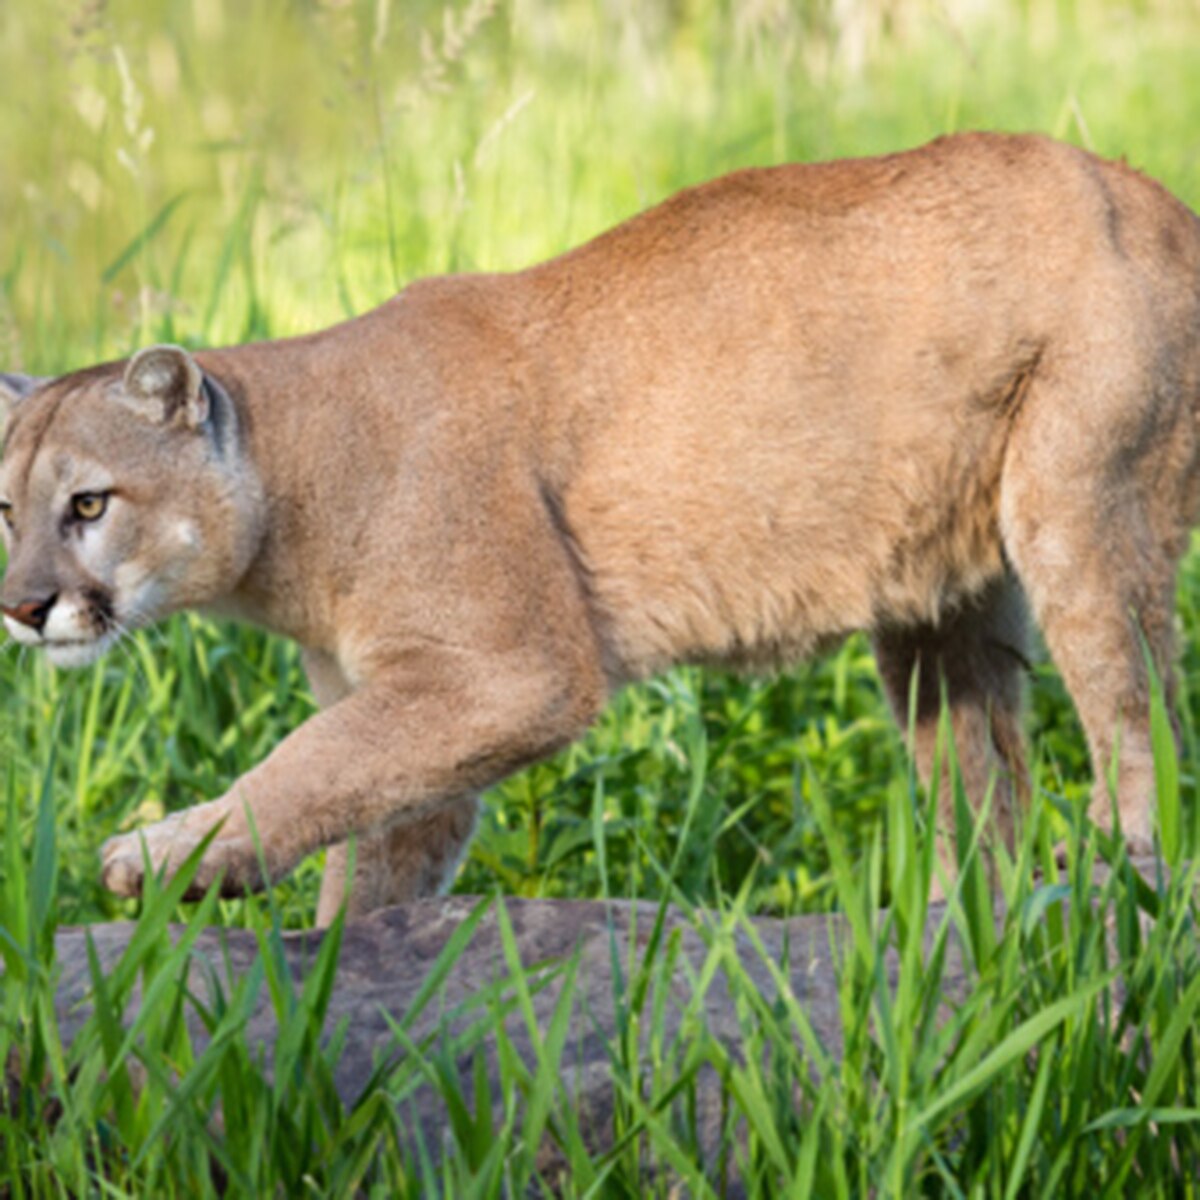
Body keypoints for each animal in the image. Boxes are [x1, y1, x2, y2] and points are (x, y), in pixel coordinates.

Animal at [3, 132, 1198, 924]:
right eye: (7, 508)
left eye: (90, 503)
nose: (21, 606)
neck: (291, 485)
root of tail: (1153, 193)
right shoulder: (412, 694)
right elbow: (372, 820)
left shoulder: (508, 671)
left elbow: (307, 765)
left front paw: (169, 857)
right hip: (939, 603)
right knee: (983, 778)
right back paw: (966, 935)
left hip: (1084, 509)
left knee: (1140, 718)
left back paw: (1115, 880)